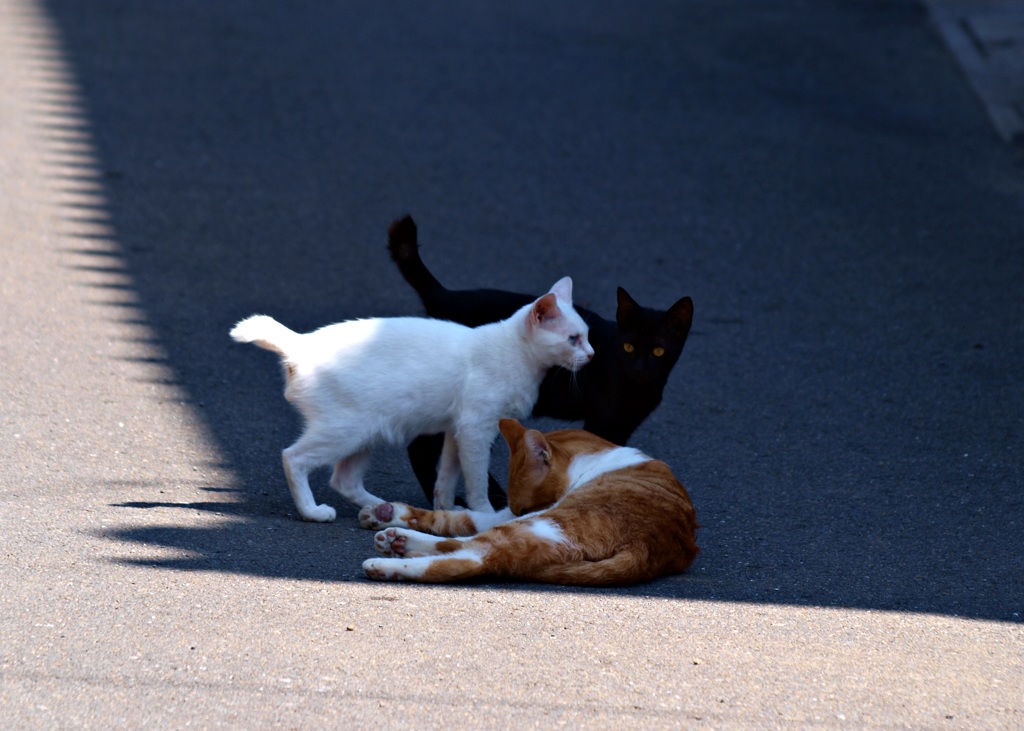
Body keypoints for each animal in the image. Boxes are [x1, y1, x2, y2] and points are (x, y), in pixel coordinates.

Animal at [224, 276, 593, 520]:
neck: (517, 356)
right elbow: (475, 479)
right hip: (346, 430)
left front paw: (446, 509)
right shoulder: (476, 429)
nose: (591, 355)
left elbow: (447, 476)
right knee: (294, 458)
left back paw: (381, 507)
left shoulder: (456, 431)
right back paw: (312, 511)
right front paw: (484, 513)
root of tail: (301, 342)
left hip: (367, 433)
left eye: (587, 336)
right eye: (573, 339)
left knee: (343, 480)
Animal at [356, 417, 700, 585]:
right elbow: (455, 518)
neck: (600, 456)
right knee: (466, 547)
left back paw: (387, 565)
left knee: (473, 558)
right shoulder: (504, 514)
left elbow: (460, 522)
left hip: (540, 526)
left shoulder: (521, 515)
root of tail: (643, 549)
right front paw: (386, 512)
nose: (520, 512)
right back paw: (398, 540)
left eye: (527, 505)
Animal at [387, 210, 692, 507]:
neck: (638, 388)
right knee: (426, 449)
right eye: (628, 347)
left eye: (658, 351)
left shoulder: (623, 425)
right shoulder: (602, 421)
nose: (639, 367)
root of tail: (446, 296)